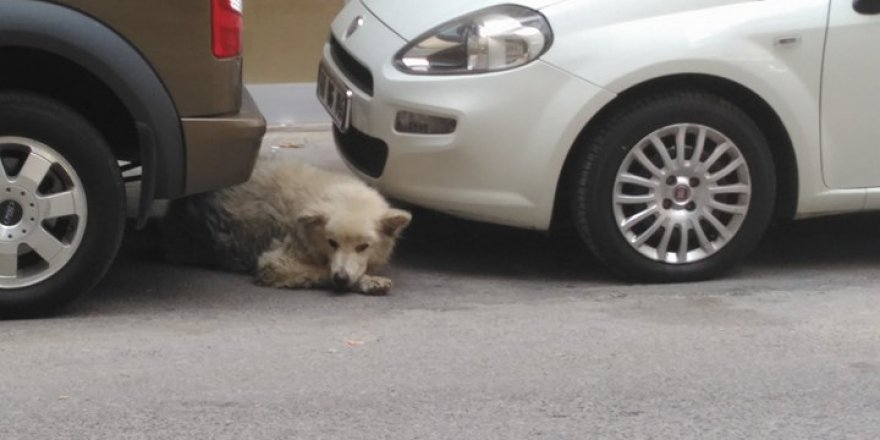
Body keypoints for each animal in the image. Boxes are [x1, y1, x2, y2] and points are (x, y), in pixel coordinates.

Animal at [162, 156, 412, 296]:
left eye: (363, 247)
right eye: (332, 242)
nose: (341, 278)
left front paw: (367, 280)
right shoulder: (274, 263)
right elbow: (319, 271)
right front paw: (364, 281)